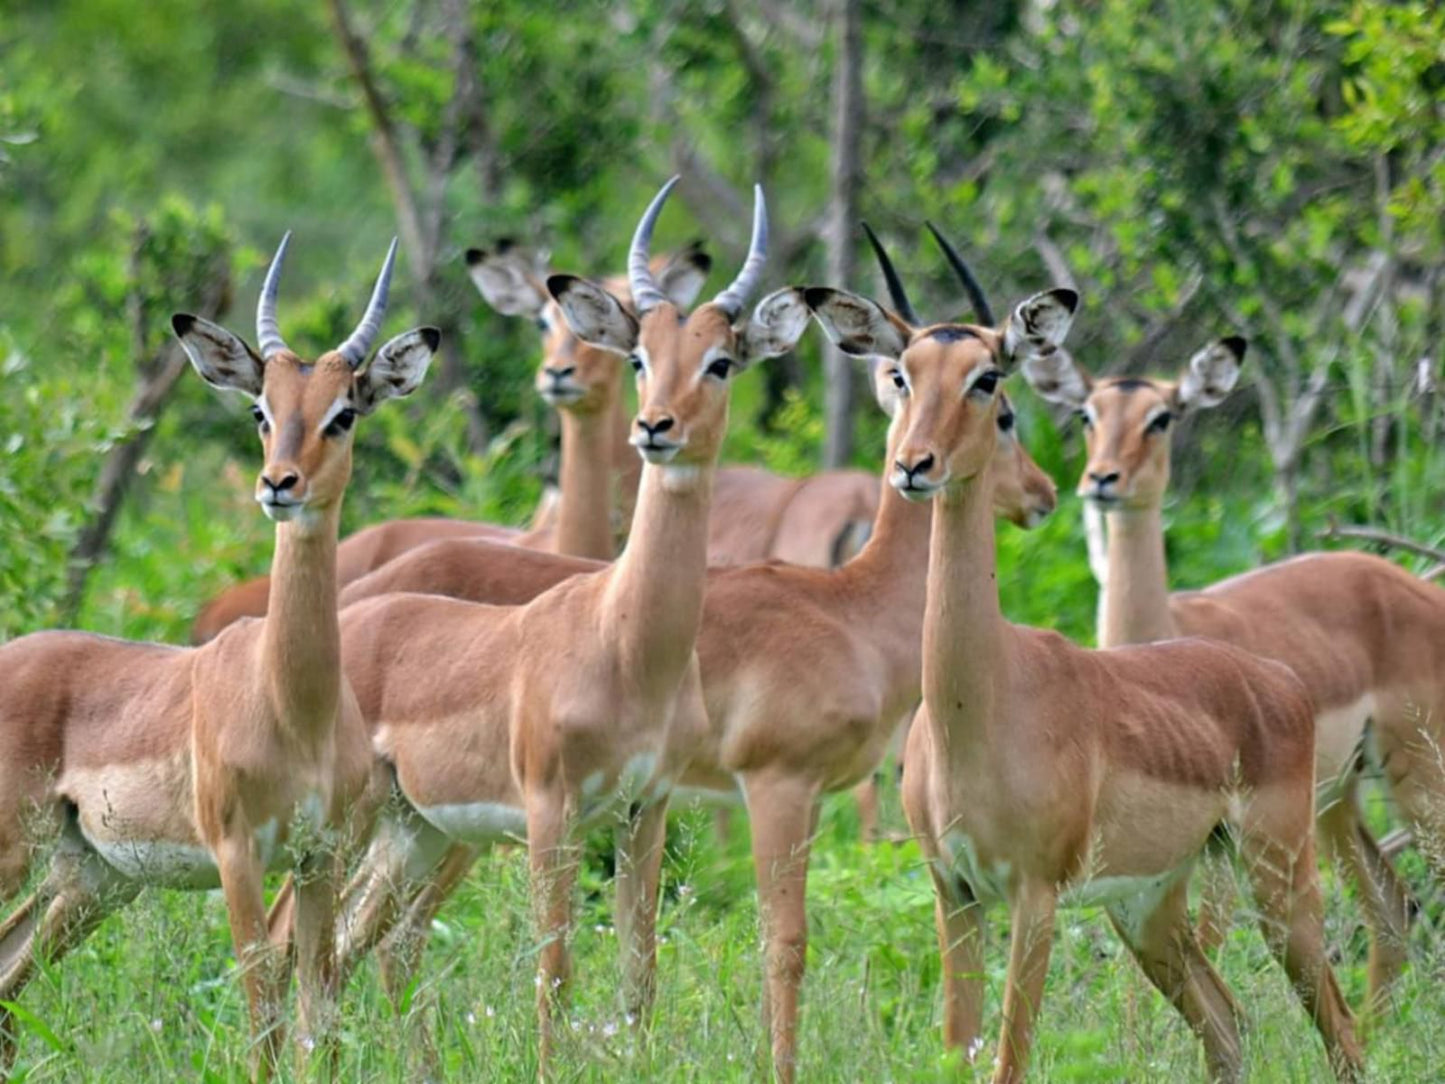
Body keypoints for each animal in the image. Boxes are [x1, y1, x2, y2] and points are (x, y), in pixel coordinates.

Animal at [0, 237, 433, 1081]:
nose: (278, 484)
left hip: (93, 876)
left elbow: (320, 1021)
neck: (292, 705)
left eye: (343, 413)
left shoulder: (320, 857)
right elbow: (263, 1021)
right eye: (261, 409)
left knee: (9, 974)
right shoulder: (238, 857)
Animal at [296, 226, 1051, 1081]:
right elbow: (782, 945)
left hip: (430, 828)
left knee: (368, 938)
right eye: (1003, 406)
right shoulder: (774, 783)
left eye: (986, 382)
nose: (1043, 494)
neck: (853, 606)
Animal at [814, 284, 1364, 1081]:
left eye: (989, 379)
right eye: (904, 373)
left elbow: (1009, 1059)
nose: (915, 465)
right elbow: (957, 1050)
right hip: (1149, 905)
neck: (976, 708)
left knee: (1339, 1026)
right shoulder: (954, 893)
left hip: (1278, 875)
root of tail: (1278, 679)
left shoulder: (1033, 895)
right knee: (1227, 1023)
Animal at [1023, 341, 1439, 1000]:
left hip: (1415, 771)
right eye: (1088, 414)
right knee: (1393, 908)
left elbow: (1207, 939)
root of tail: (1416, 588)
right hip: (1336, 799)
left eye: (1162, 417)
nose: (1103, 480)